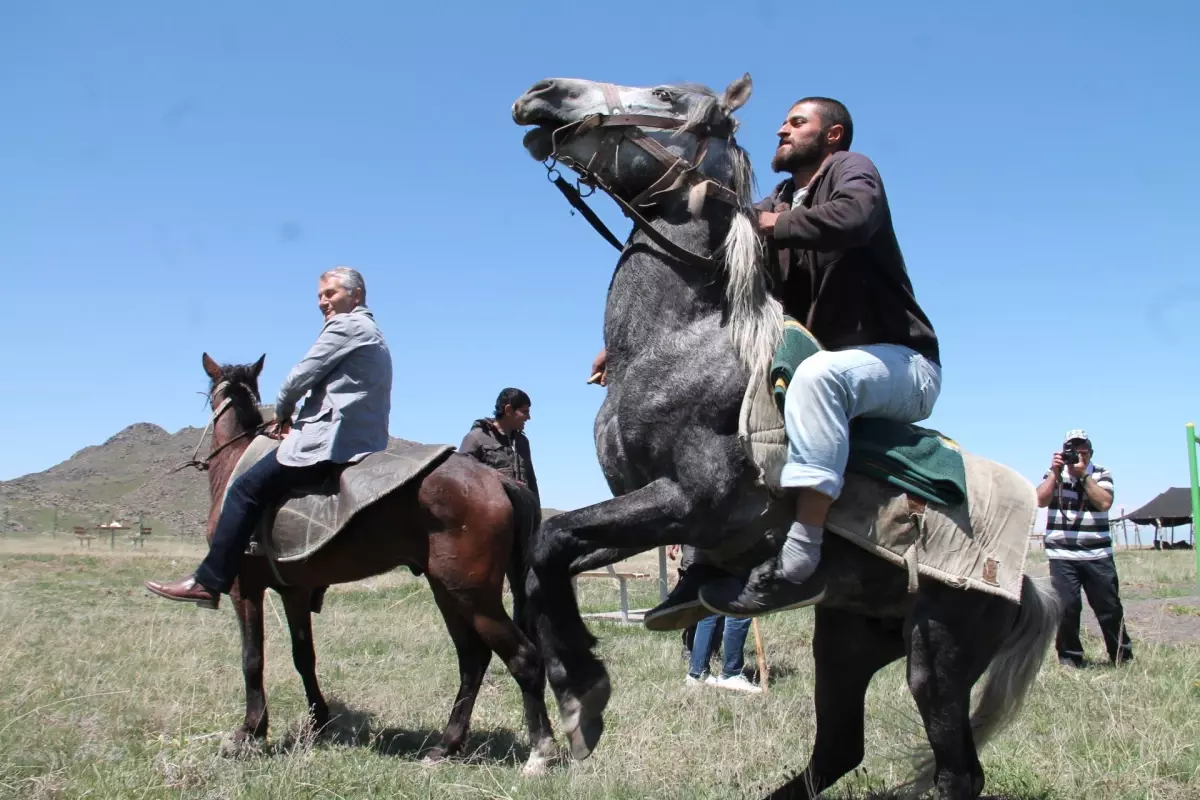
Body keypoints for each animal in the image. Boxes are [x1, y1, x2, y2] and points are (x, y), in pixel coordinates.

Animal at [187, 355, 556, 777]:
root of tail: (496, 481)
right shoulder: (294, 591)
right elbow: (303, 657)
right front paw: (318, 722)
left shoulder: (243, 587)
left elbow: (252, 659)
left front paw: (249, 732)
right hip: (448, 593)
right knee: (473, 660)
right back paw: (446, 746)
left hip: (473, 596)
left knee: (522, 659)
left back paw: (540, 753)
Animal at [511, 74, 1056, 800]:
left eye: (664, 95)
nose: (544, 93)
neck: (676, 344)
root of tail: (1024, 580)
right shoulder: (644, 514)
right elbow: (547, 554)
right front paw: (577, 690)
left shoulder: (691, 502)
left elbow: (552, 539)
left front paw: (584, 694)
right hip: (848, 640)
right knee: (838, 750)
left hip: (936, 655)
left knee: (955, 772)